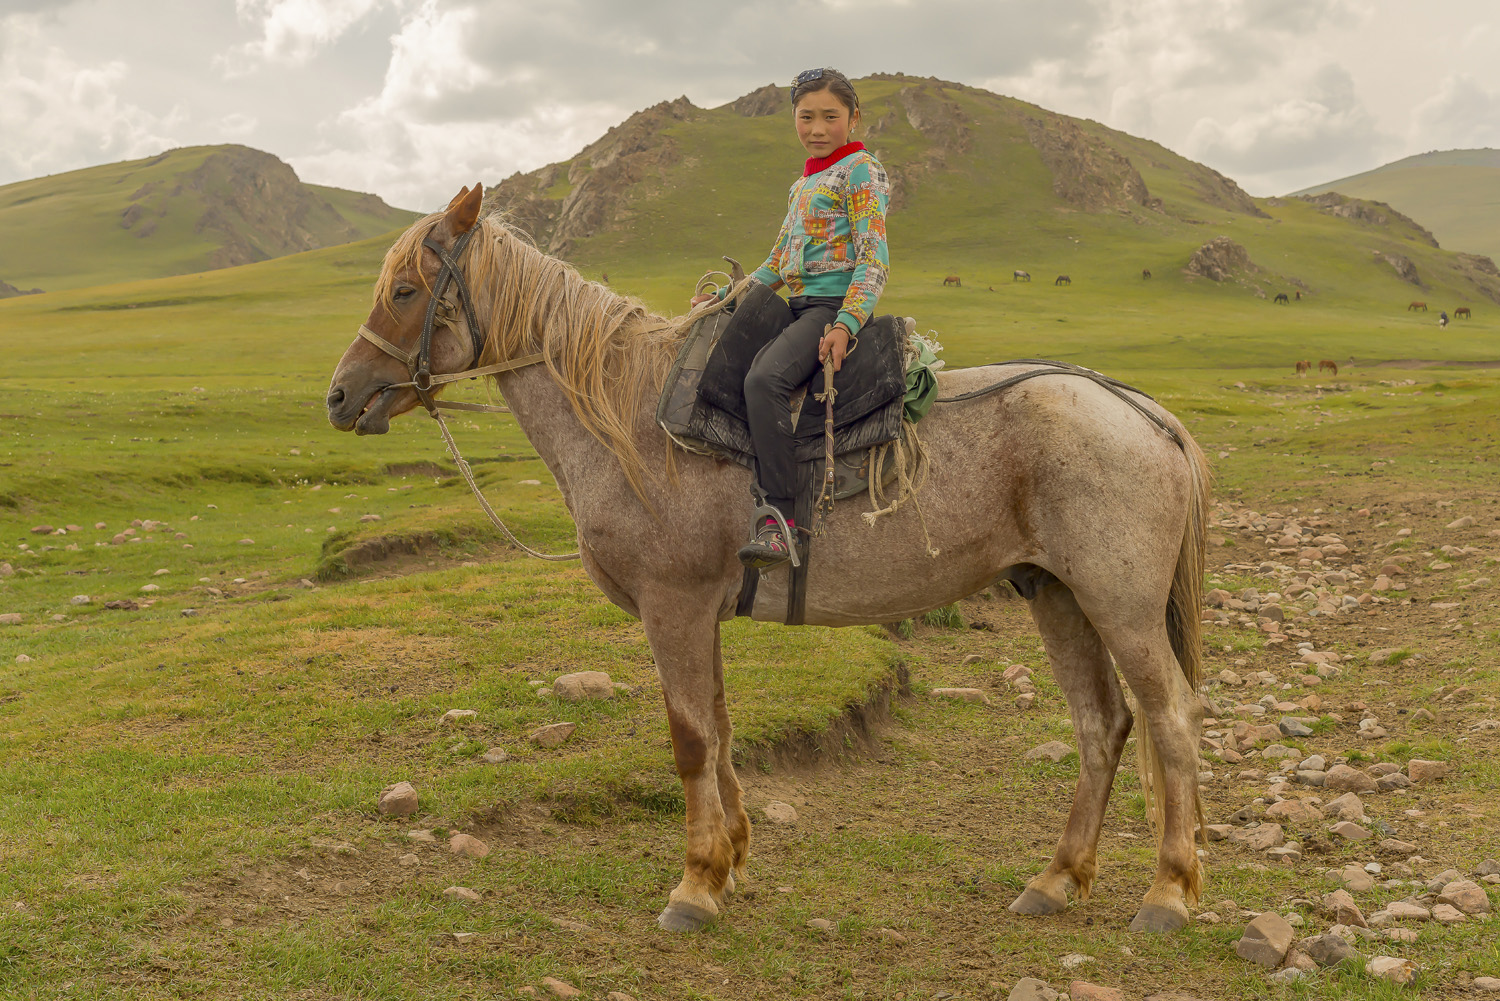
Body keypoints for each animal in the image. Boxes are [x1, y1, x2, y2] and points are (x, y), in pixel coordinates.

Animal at [322, 186, 1212, 942]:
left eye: (406, 290)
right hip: (1056, 594)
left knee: (1168, 717)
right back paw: (1055, 879)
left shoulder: (673, 605)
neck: (628, 418)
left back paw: (1166, 892)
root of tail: (1145, 411)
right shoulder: (696, 612)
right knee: (1102, 723)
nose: (338, 395)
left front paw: (693, 883)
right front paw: (731, 860)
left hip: (1120, 606)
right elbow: (717, 727)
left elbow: (689, 739)